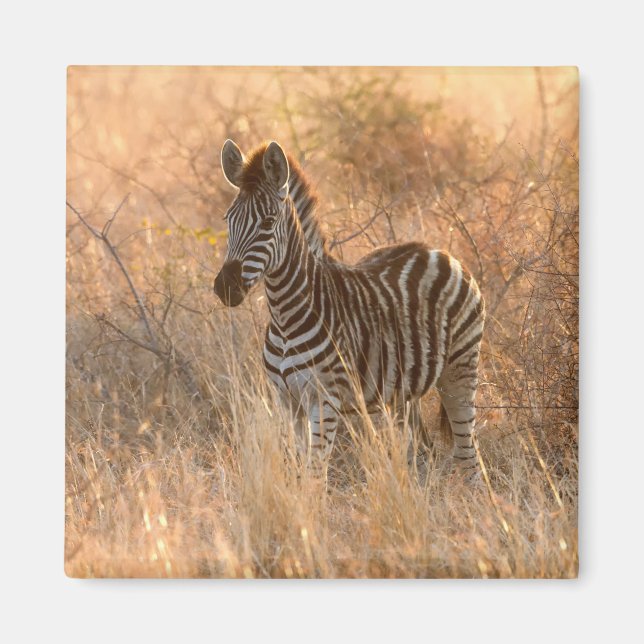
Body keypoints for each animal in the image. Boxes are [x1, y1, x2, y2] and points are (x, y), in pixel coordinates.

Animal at [214, 139, 485, 479]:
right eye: (228, 220)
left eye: (267, 223)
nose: (224, 287)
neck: (285, 317)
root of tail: (440, 251)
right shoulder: (288, 402)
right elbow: (300, 471)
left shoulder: (324, 402)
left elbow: (314, 476)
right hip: (403, 392)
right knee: (423, 451)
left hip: (460, 368)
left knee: (469, 458)